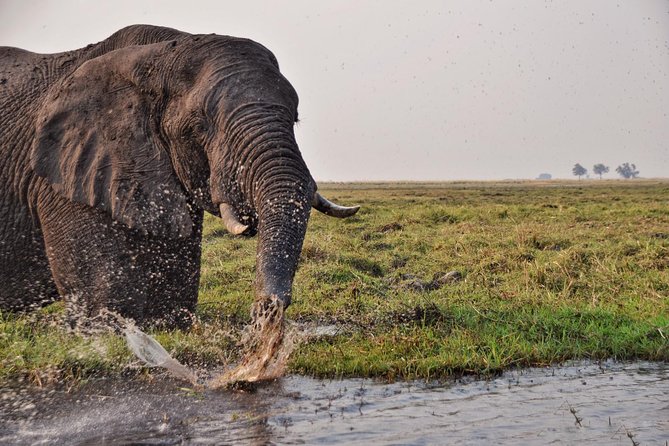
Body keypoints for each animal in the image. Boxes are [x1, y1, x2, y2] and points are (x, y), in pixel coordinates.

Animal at [0, 26, 360, 330]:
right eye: (200, 125)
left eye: (295, 118)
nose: (266, 310)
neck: (157, 53)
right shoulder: (69, 175)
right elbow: (105, 301)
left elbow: (173, 297)